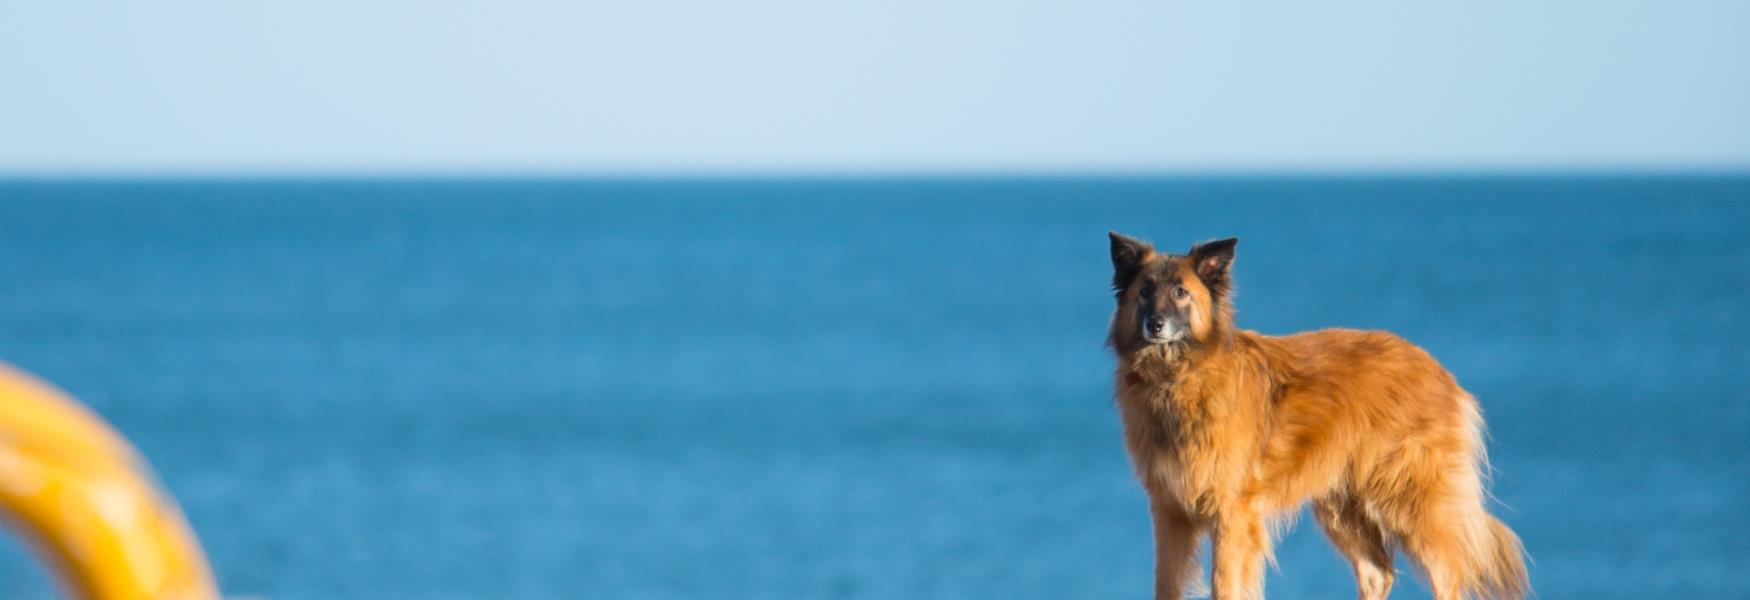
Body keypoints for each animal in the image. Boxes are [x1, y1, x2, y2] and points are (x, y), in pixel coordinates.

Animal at [1113, 234, 1526, 600]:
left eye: (1181, 292)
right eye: (1145, 291)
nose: (1155, 324)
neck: (1176, 376)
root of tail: (1438, 370)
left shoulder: (1231, 513)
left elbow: (1224, 586)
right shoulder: (1170, 510)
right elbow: (1166, 585)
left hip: (1412, 501)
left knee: (1446, 576)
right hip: (1342, 506)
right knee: (1377, 573)